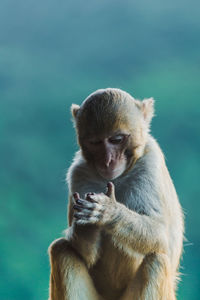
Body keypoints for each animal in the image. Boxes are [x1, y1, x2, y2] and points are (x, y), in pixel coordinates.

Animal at [47, 88, 184, 300]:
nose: (107, 161)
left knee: (157, 261)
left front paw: (109, 212)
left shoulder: (150, 162)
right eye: (95, 142)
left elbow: (161, 235)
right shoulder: (78, 173)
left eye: (116, 140)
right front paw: (86, 226)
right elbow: (87, 254)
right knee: (61, 249)